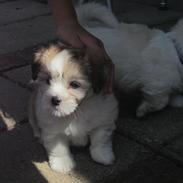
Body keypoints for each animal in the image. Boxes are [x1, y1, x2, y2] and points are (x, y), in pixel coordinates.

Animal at [28, 44, 117, 173]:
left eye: (75, 84)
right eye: (48, 80)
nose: (54, 100)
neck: (77, 111)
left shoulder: (103, 120)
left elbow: (100, 139)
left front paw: (102, 155)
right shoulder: (52, 129)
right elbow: (58, 147)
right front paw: (62, 164)